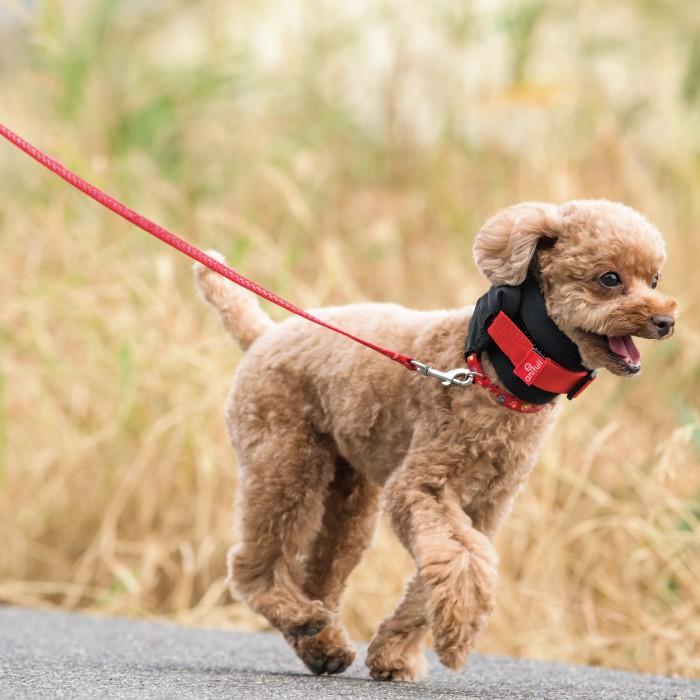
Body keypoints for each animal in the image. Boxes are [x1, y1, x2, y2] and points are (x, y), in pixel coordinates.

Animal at [194, 200, 676, 680]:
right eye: (609, 279)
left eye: (654, 280)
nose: (666, 320)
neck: (496, 368)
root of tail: (265, 335)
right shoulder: (423, 486)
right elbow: (462, 560)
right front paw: (459, 631)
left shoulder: (482, 508)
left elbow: (444, 568)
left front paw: (393, 654)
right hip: (285, 459)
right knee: (251, 564)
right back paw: (299, 615)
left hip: (349, 495)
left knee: (322, 569)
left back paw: (321, 642)